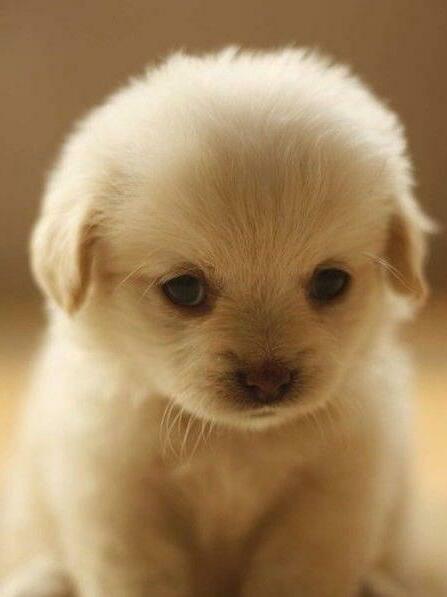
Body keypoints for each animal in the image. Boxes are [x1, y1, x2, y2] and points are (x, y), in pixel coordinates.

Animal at [0, 47, 436, 596]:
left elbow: (297, 576)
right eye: (184, 289)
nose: (269, 381)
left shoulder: (325, 507)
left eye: (330, 282)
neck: (232, 441)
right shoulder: (120, 504)